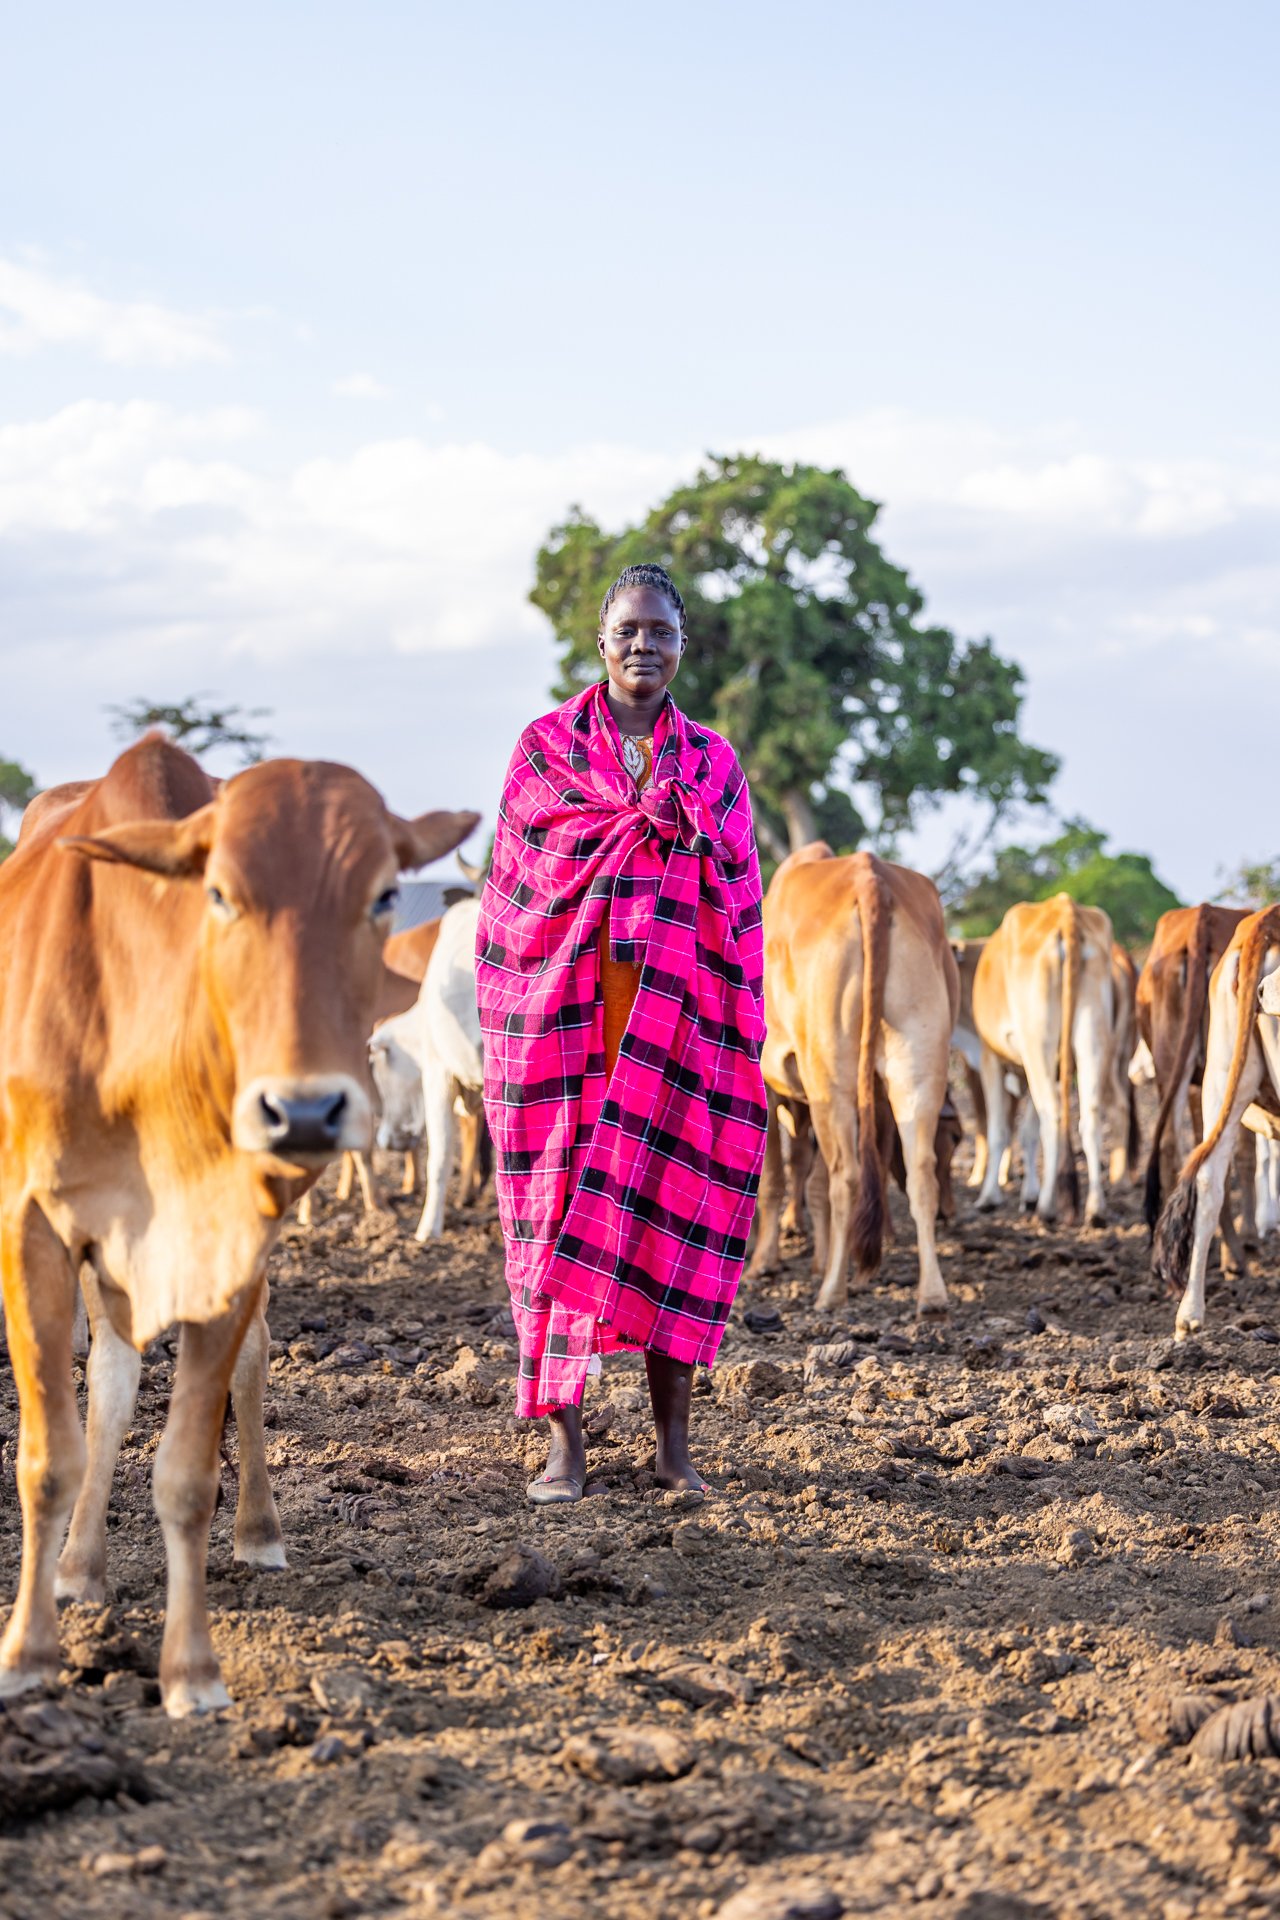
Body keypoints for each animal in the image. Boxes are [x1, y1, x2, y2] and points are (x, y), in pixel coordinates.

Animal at [0, 741, 475, 1720]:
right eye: (218, 893)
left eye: (383, 893)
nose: (305, 1109)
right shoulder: (33, 1226)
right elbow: (51, 1452)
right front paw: (28, 1650)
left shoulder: (231, 1236)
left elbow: (188, 1469)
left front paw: (191, 1669)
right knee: (111, 1377)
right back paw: (80, 1565)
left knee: (243, 1364)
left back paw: (254, 1529)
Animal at [756, 844, 955, 1320]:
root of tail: (870, 878)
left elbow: (774, 1178)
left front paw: (764, 1263)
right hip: (916, 1069)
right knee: (920, 1174)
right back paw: (931, 1296)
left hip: (831, 1079)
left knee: (844, 1177)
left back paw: (831, 1291)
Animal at [974, 890, 1113, 1221]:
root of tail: (1065, 911)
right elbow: (1027, 1131)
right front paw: (1028, 1195)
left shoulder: (990, 1057)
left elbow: (1000, 1130)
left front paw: (990, 1196)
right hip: (1092, 1036)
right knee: (1090, 1115)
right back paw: (1095, 1208)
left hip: (1037, 1042)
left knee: (1052, 1111)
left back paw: (1048, 1206)